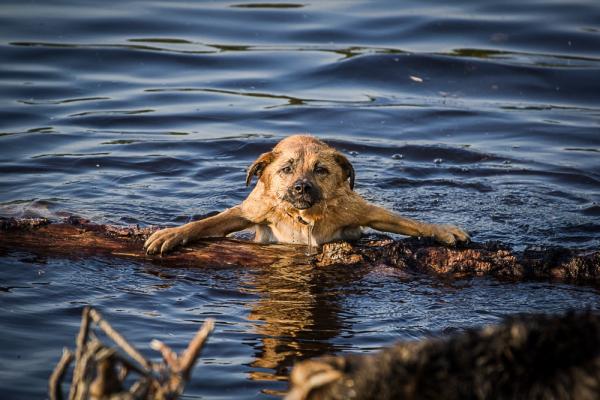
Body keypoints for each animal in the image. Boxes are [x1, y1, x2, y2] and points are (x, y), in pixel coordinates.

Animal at [144, 134, 468, 253]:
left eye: (320, 170)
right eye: (287, 169)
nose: (301, 187)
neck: (303, 217)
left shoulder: (358, 211)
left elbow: (406, 222)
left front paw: (441, 230)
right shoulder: (253, 210)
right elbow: (207, 223)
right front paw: (171, 234)